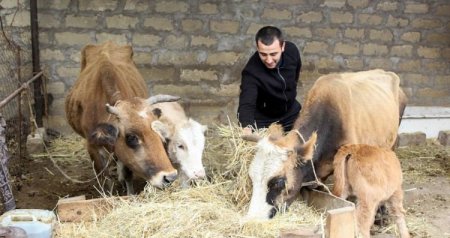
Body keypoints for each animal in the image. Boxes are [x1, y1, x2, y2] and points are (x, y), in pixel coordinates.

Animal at [65, 41, 178, 194]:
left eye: (158, 132)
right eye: (131, 137)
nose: (170, 177)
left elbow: (127, 174)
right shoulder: (92, 146)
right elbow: (104, 178)